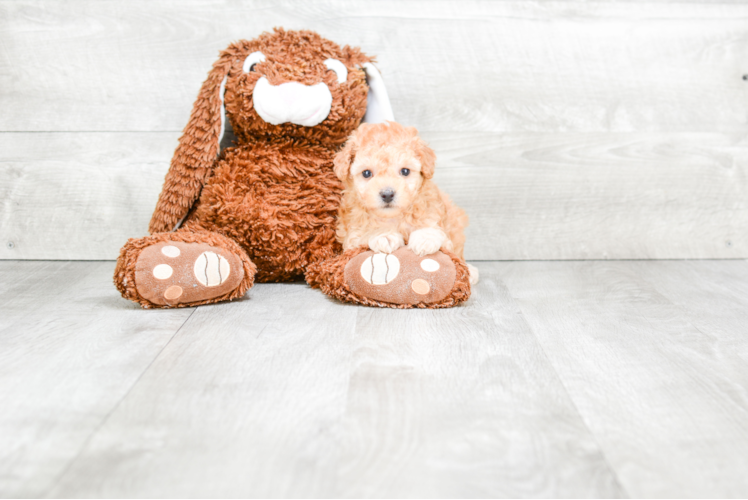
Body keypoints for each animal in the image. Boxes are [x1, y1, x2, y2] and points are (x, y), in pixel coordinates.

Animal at [334, 121, 480, 284]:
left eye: (405, 171)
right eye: (366, 173)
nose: (387, 194)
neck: (394, 216)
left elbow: (436, 233)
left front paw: (425, 238)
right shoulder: (351, 235)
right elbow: (363, 232)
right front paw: (383, 234)